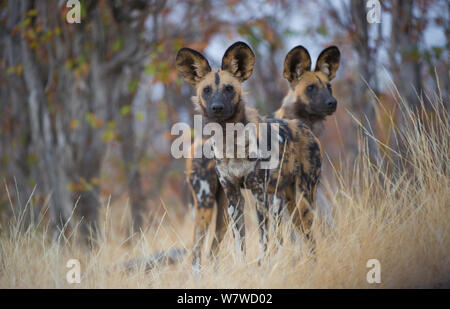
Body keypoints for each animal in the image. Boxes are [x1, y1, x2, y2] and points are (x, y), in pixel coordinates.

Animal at [181, 44, 340, 274]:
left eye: (229, 88)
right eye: (207, 90)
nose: (217, 107)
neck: (230, 140)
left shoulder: (263, 195)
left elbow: (267, 242)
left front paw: (267, 267)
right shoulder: (237, 197)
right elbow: (243, 244)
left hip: (299, 199)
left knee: (307, 238)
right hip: (209, 204)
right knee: (197, 250)